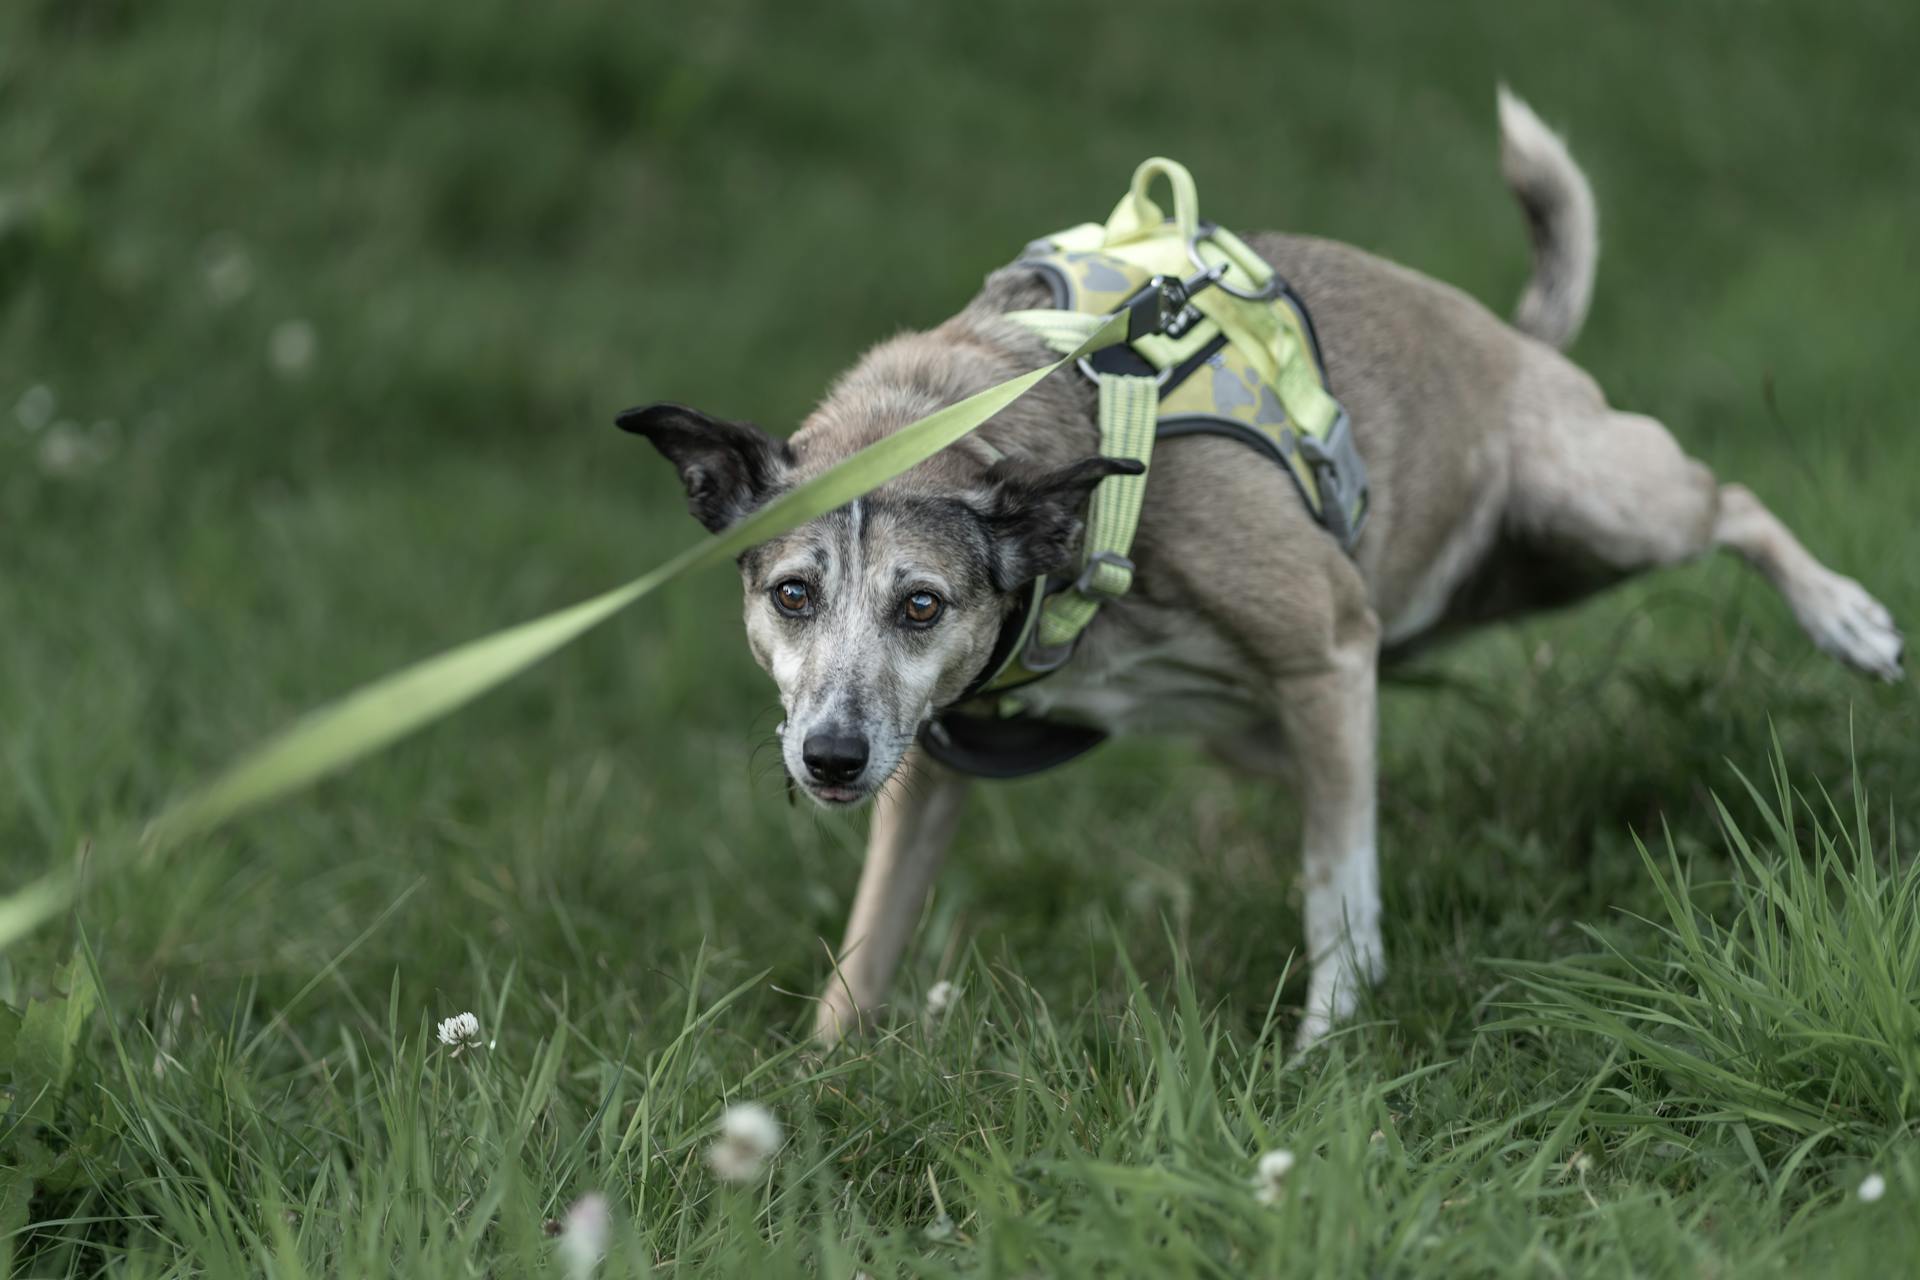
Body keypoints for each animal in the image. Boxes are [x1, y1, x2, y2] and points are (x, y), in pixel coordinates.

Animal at [618, 90, 1904, 1051]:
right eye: (792, 593)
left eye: (920, 603)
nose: (829, 757)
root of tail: (1514, 339)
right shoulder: (929, 764)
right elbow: (870, 940)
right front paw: (818, 1083)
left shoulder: (1325, 649)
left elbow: (1336, 884)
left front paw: (1328, 1047)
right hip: (1307, 695)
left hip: (1596, 502)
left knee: (1729, 502)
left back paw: (1846, 618)